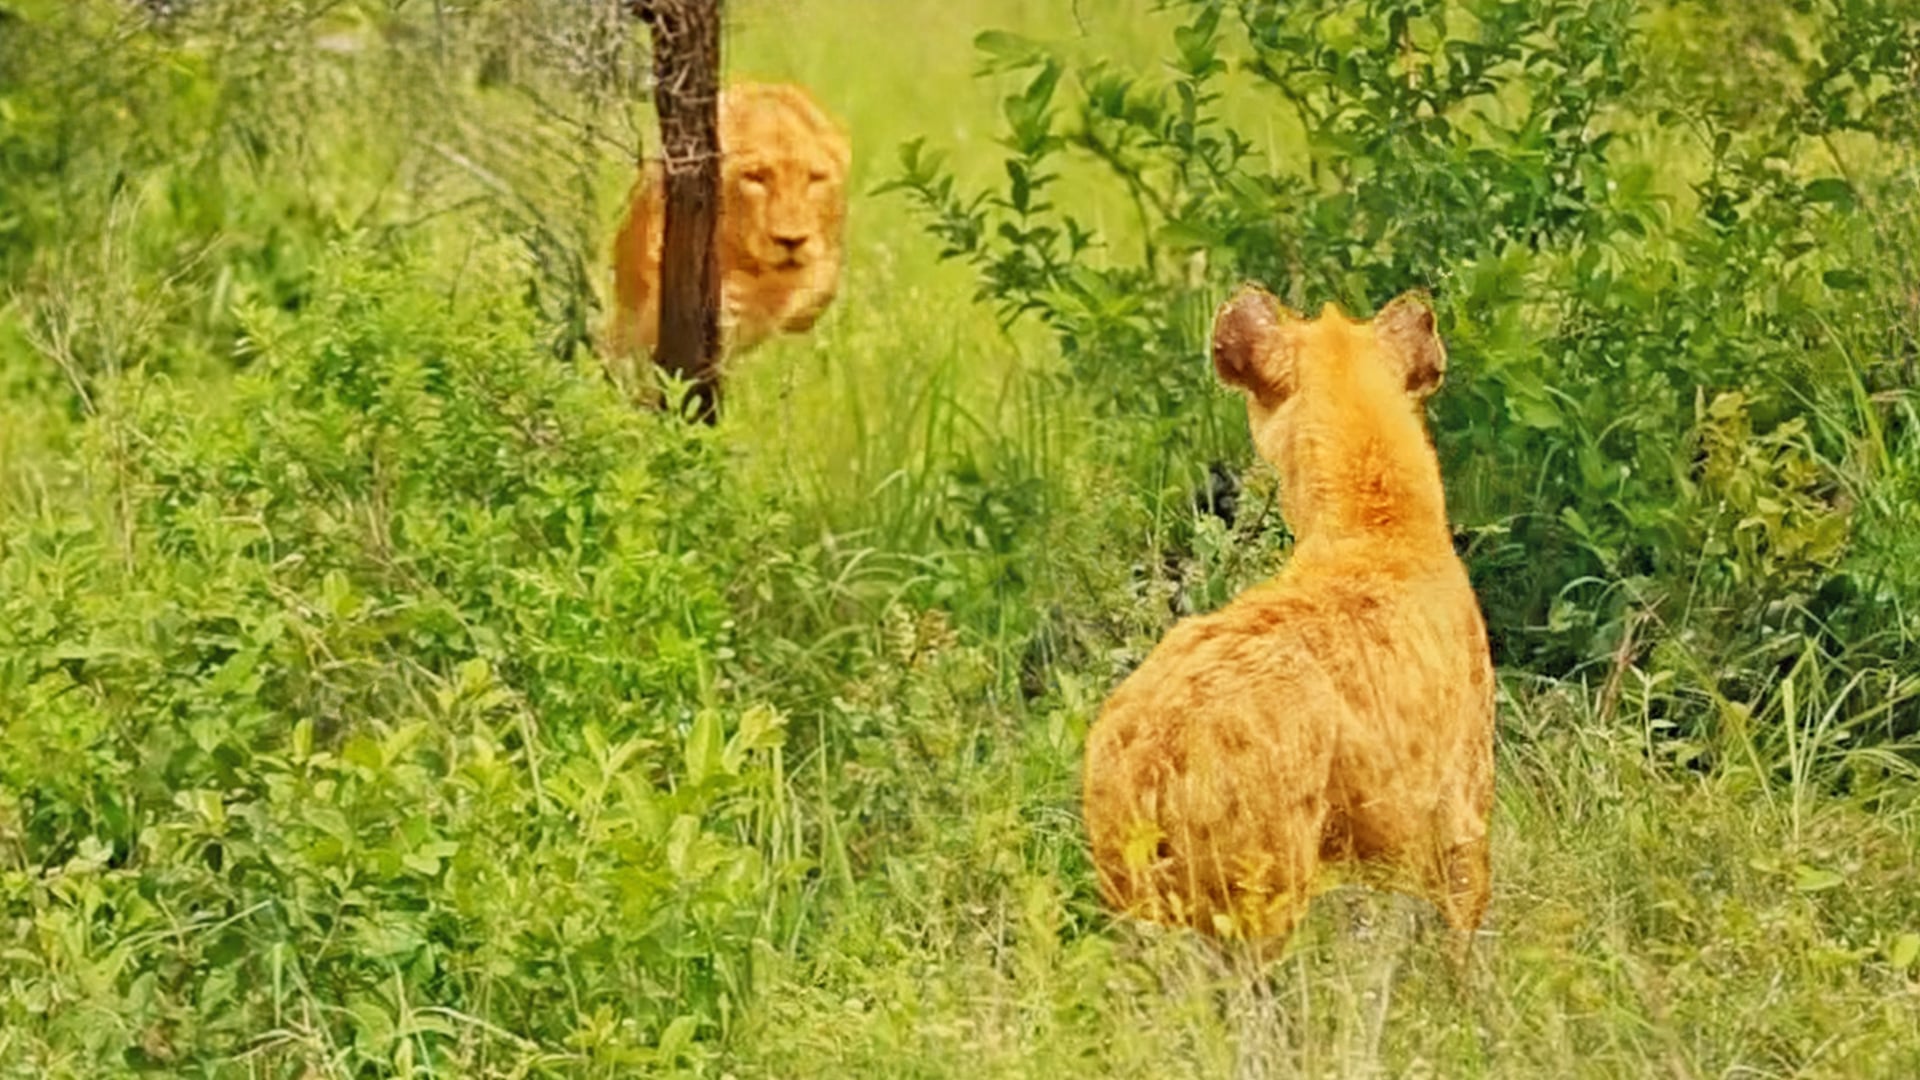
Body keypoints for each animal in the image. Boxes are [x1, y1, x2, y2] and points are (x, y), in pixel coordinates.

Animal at [1081, 285, 1495, 958]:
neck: (1373, 525)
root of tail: (1149, 757)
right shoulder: (1463, 802)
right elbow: (1459, 948)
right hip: (1261, 893)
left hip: (1132, 899)